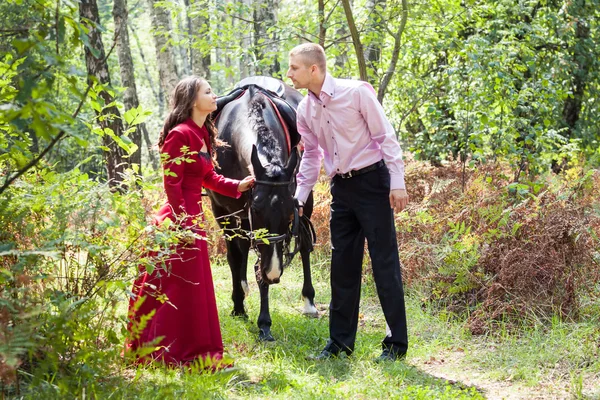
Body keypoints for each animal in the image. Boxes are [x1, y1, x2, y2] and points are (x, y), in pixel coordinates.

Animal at [207, 76, 316, 342]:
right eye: (256, 209)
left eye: (288, 212)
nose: (275, 271)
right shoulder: (223, 211)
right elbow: (235, 257)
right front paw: (238, 307)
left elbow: (260, 268)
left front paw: (264, 324)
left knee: (304, 246)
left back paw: (309, 302)